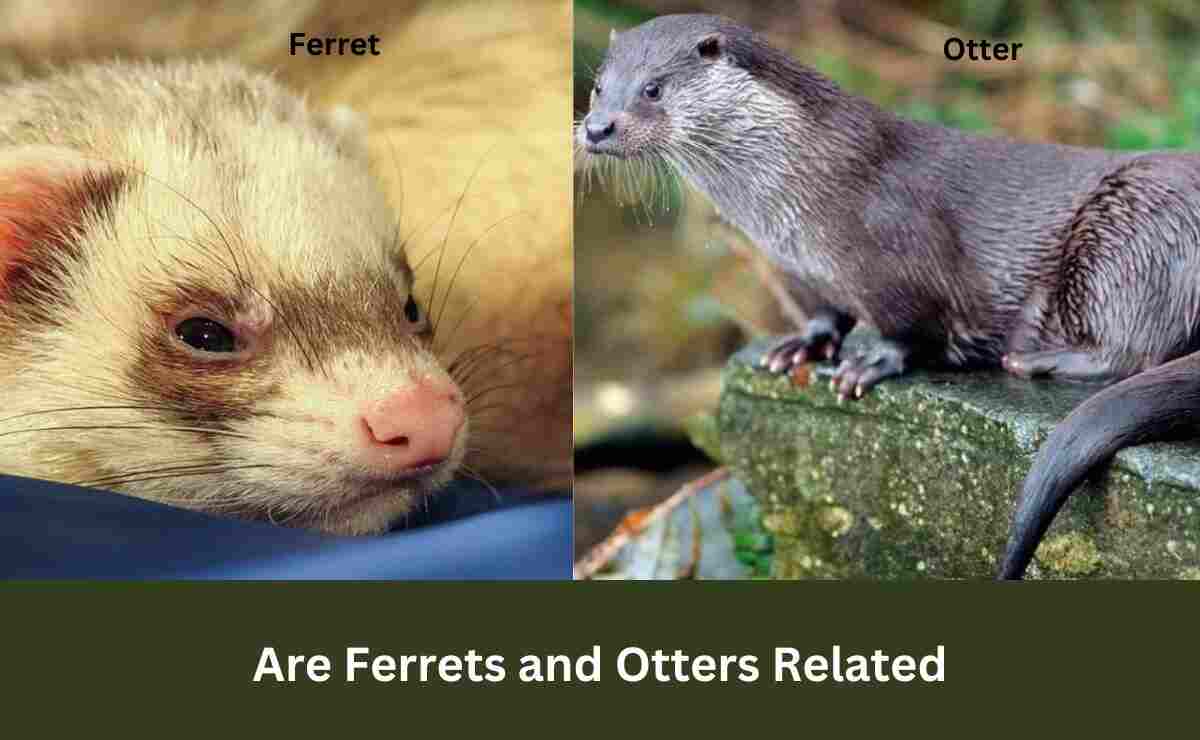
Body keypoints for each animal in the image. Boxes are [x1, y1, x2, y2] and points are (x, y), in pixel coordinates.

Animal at [576, 13, 1200, 579]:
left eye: (653, 88)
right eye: (599, 86)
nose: (597, 128)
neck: (799, 194)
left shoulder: (897, 252)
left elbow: (913, 326)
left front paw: (872, 363)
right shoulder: (797, 270)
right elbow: (825, 313)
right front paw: (802, 345)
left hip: (1135, 231)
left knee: (1135, 349)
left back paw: (1034, 360)